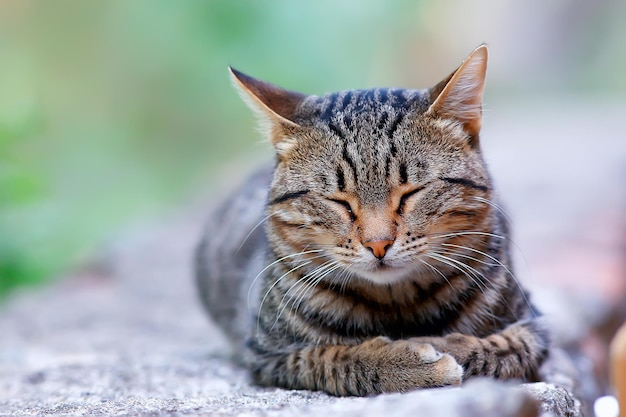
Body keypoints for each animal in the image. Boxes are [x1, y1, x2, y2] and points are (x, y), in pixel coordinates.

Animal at [194, 44, 544, 394]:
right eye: (339, 201)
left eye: (411, 193)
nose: (378, 245)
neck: (395, 303)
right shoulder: (268, 353)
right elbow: (335, 358)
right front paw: (405, 361)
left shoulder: (534, 326)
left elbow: (505, 349)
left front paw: (445, 345)